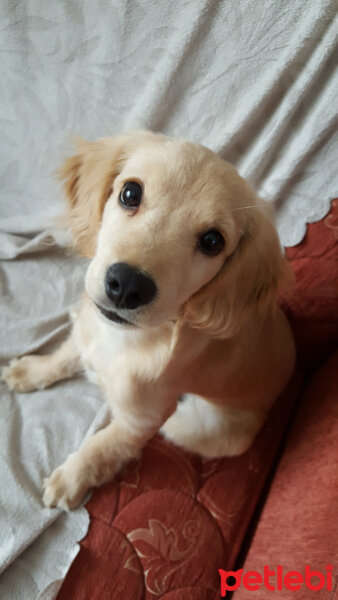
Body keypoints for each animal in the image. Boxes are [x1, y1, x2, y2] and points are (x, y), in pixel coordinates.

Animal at [1, 132, 294, 510]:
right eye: (130, 193)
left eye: (213, 241)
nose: (127, 286)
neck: (124, 341)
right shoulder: (86, 333)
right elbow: (64, 356)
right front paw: (31, 370)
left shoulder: (140, 420)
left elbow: (102, 446)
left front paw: (72, 478)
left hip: (202, 426)